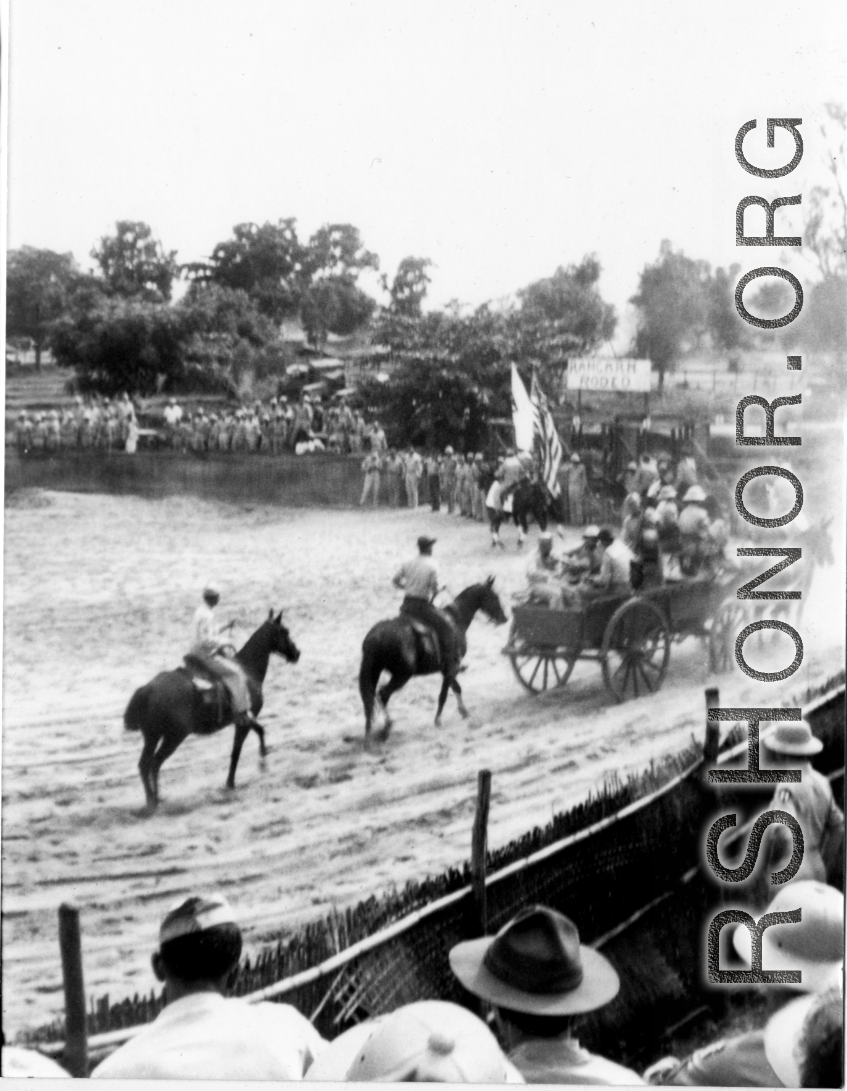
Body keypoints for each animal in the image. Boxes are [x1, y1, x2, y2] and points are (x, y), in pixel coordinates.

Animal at [123, 615, 299, 811]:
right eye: (285, 631)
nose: (296, 653)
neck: (247, 670)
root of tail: (149, 689)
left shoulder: (245, 718)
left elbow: (259, 731)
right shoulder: (244, 719)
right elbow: (238, 750)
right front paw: (236, 780)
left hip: (152, 735)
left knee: (144, 764)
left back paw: (151, 800)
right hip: (174, 736)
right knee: (155, 763)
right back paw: (156, 799)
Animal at [358, 576, 506, 746]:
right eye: (495, 597)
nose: (504, 618)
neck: (456, 619)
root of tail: (375, 636)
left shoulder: (447, 668)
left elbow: (456, 688)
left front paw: (463, 711)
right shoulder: (451, 666)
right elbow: (443, 694)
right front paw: (438, 720)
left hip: (374, 671)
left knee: (369, 701)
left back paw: (369, 735)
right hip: (402, 675)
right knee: (383, 694)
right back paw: (386, 728)